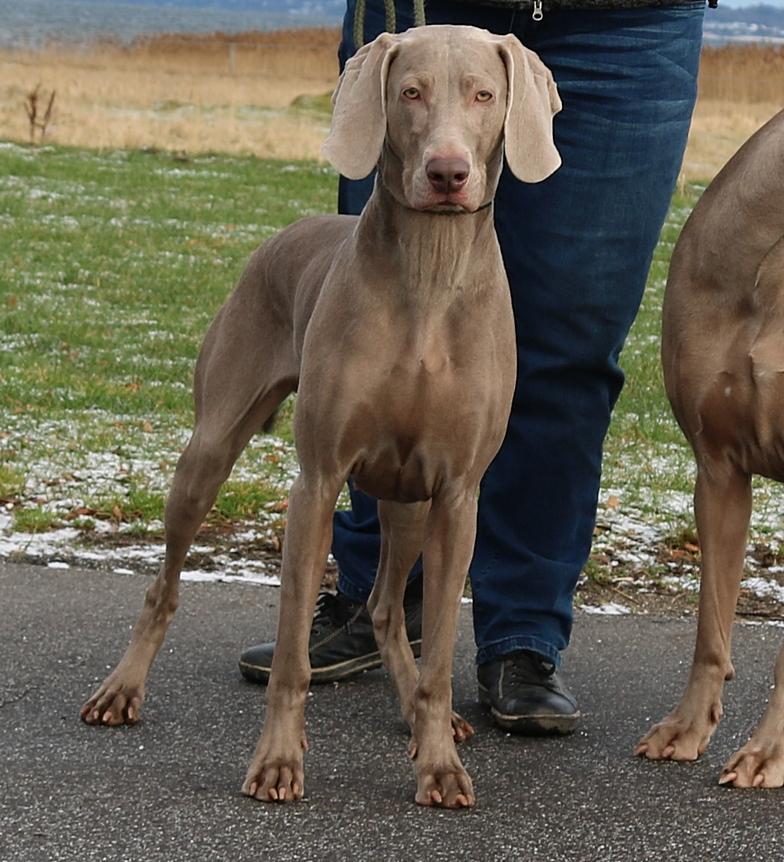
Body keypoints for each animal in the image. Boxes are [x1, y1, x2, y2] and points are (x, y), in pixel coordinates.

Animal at [79, 27, 564, 808]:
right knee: (165, 582)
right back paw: (121, 690)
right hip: (210, 449)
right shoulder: (318, 480)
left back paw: (420, 714)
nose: (448, 173)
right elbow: (290, 658)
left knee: (388, 609)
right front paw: (278, 761)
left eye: (484, 95)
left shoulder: (457, 494)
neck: (430, 274)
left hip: (407, 499)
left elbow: (437, 656)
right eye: (410, 92)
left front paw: (439, 763)